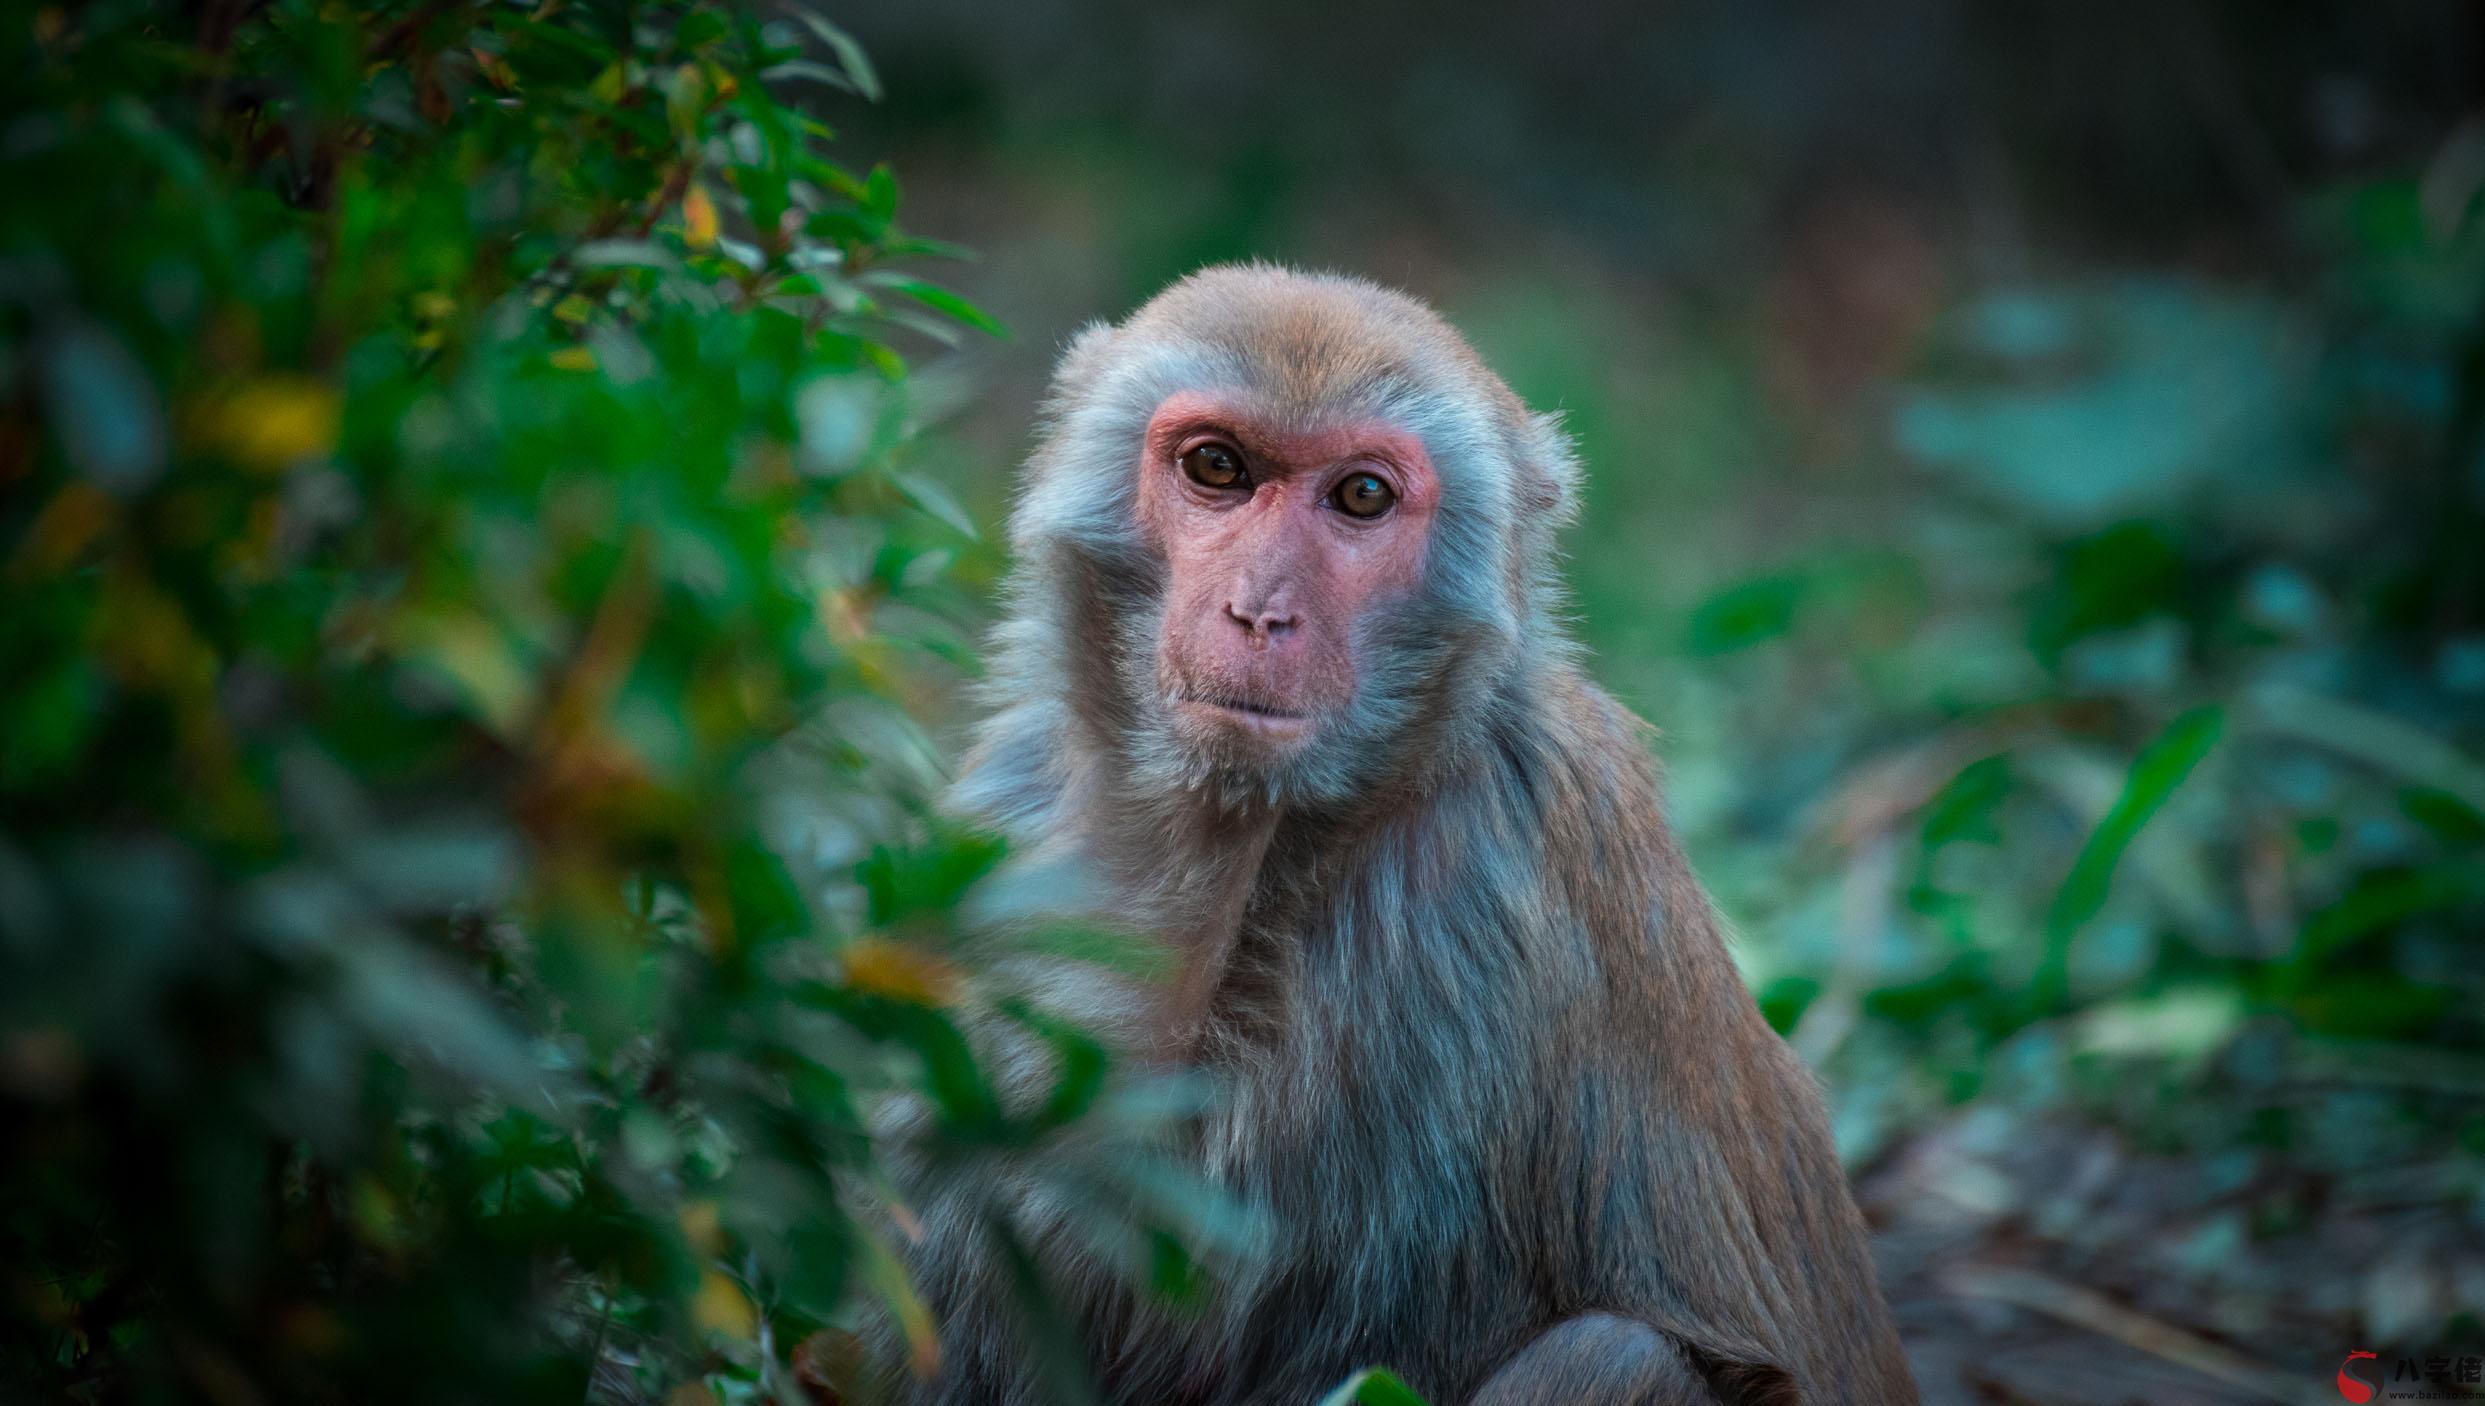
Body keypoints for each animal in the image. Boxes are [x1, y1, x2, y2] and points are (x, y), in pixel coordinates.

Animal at [884, 264, 1908, 1406]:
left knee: (1613, 1356)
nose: (1259, 612)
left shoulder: (1519, 845)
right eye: (1217, 467)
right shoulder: (996, 839)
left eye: (1361, 497)